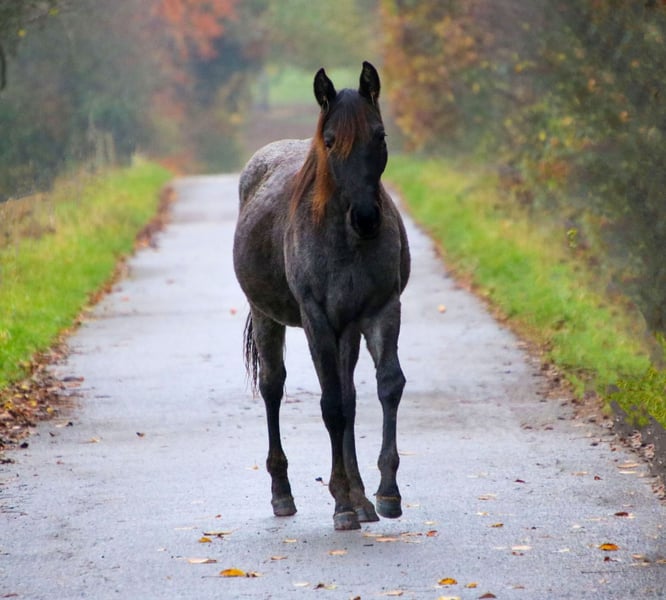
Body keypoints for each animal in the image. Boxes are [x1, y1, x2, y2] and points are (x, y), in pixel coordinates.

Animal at [232, 62, 410, 531]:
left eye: (379, 135)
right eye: (330, 142)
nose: (366, 218)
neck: (345, 239)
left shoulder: (382, 309)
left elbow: (387, 386)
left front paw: (385, 493)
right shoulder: (316, 318)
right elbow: (330, 406)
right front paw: (342, 505)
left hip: (346, 330)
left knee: (349, 396)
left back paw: (361, 497)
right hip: (269, 317)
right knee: (273, 387)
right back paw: (283, 494)